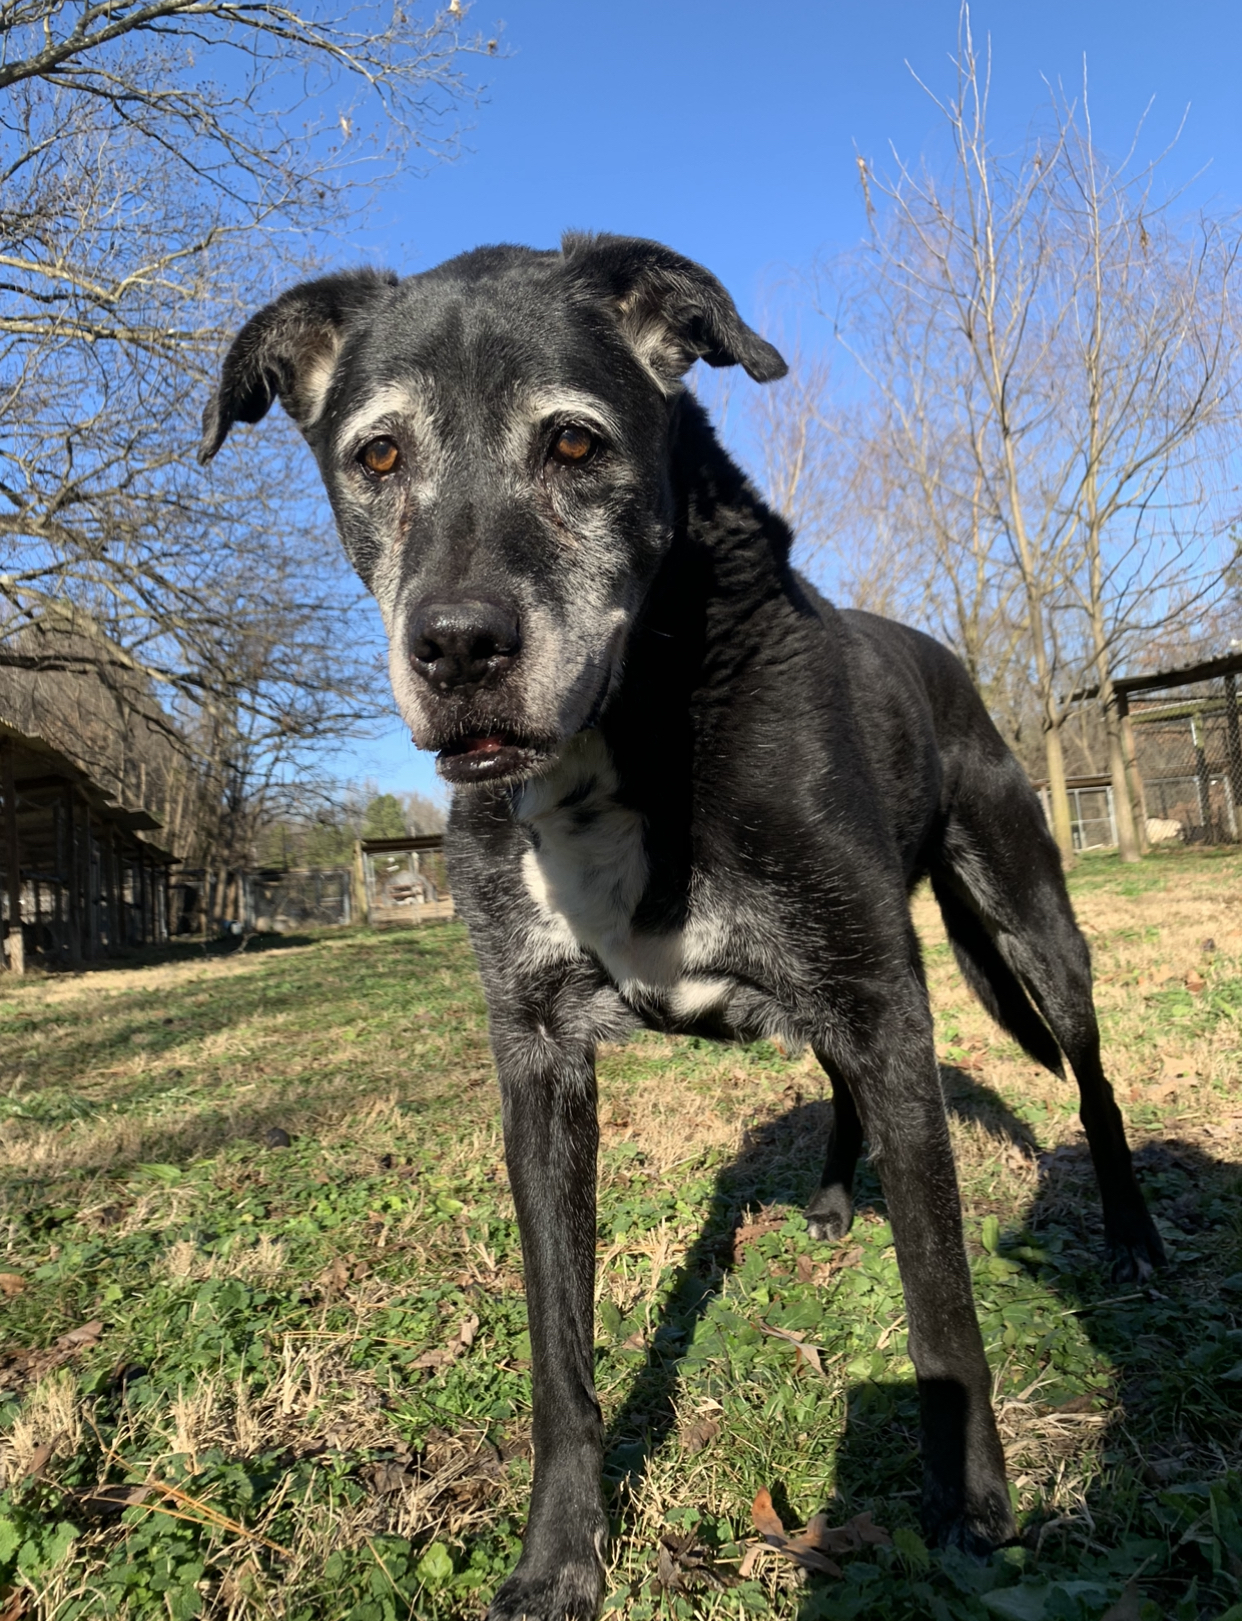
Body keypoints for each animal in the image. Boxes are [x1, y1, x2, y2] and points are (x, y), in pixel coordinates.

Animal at [204, 236, 1167, 1621]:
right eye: (377, 455)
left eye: (573, 442)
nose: (457, 647)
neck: (637, 730)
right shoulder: (538, 1054)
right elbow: (558, 1349)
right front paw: (558, 1553)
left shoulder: (885, 1000)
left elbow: (943, 1305)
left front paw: (972, 1508)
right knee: (844, 1083)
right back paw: (831, 1200)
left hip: (1031, 924)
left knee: (1089, 1077)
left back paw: (1134, 1237)